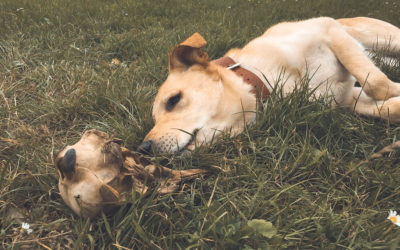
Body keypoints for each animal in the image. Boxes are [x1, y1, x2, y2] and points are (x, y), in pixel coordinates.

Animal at [140, 16, 400, 154]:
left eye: (173, 100)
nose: (143, 148)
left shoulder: (329, 29)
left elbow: (378, 84)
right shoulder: (344, 99)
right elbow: (388, 107)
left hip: (386, 39)